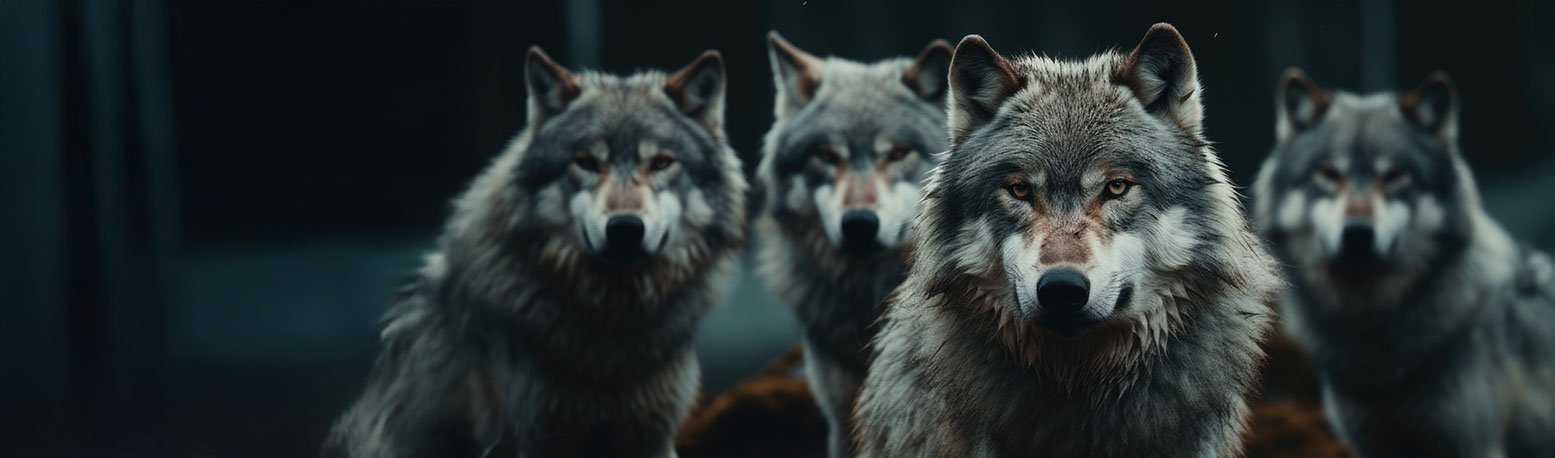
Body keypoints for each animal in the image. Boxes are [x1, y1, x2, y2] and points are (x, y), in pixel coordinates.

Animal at [322, 46, 747, 458]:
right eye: (586, 161)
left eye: (660, 162)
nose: (625, 228)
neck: (611, 323)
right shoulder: (536, 435)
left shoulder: (654, 436)